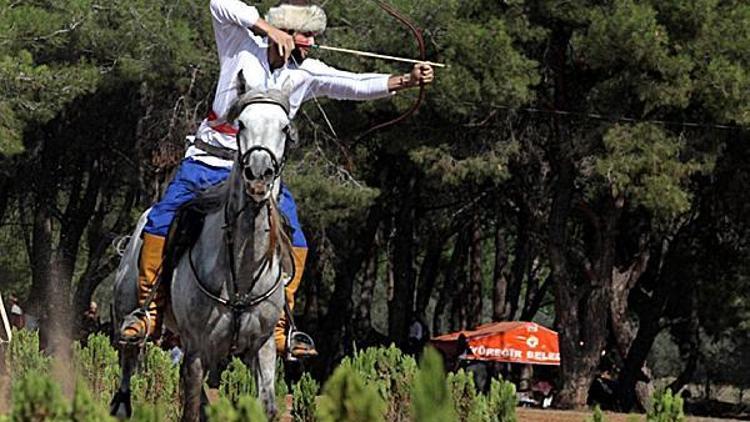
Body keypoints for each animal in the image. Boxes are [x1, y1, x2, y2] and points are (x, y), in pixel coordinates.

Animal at [110, 88, 296, 418]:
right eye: (242, 124)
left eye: (285, 127)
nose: (259, 175)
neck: (240, 272)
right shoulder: (197, 350)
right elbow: (191, 407)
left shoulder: (261, 347)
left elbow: (267, 403)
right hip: (128, 317)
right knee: (127, 369)